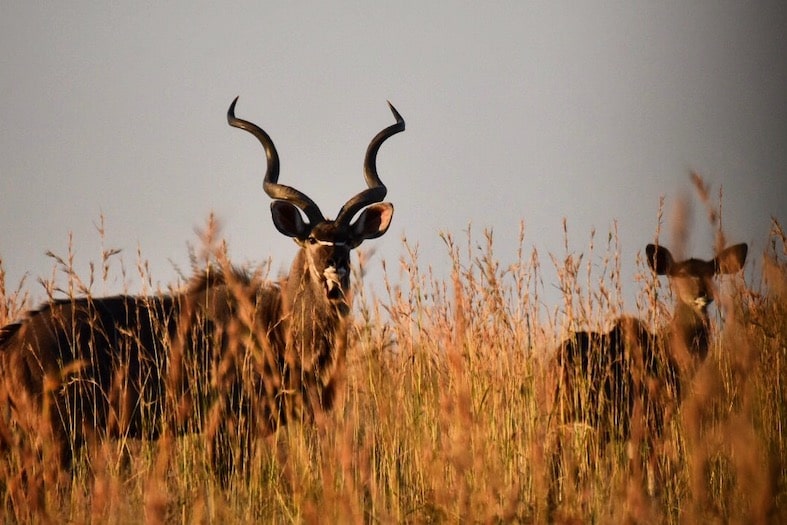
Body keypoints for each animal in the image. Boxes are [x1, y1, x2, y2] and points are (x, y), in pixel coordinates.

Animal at [0, 97, 404, 472]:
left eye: (348, 243)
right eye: (311, 240)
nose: (335, 272)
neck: (278, 324)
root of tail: (16, 341)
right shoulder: (225, 423)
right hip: (57, 436)